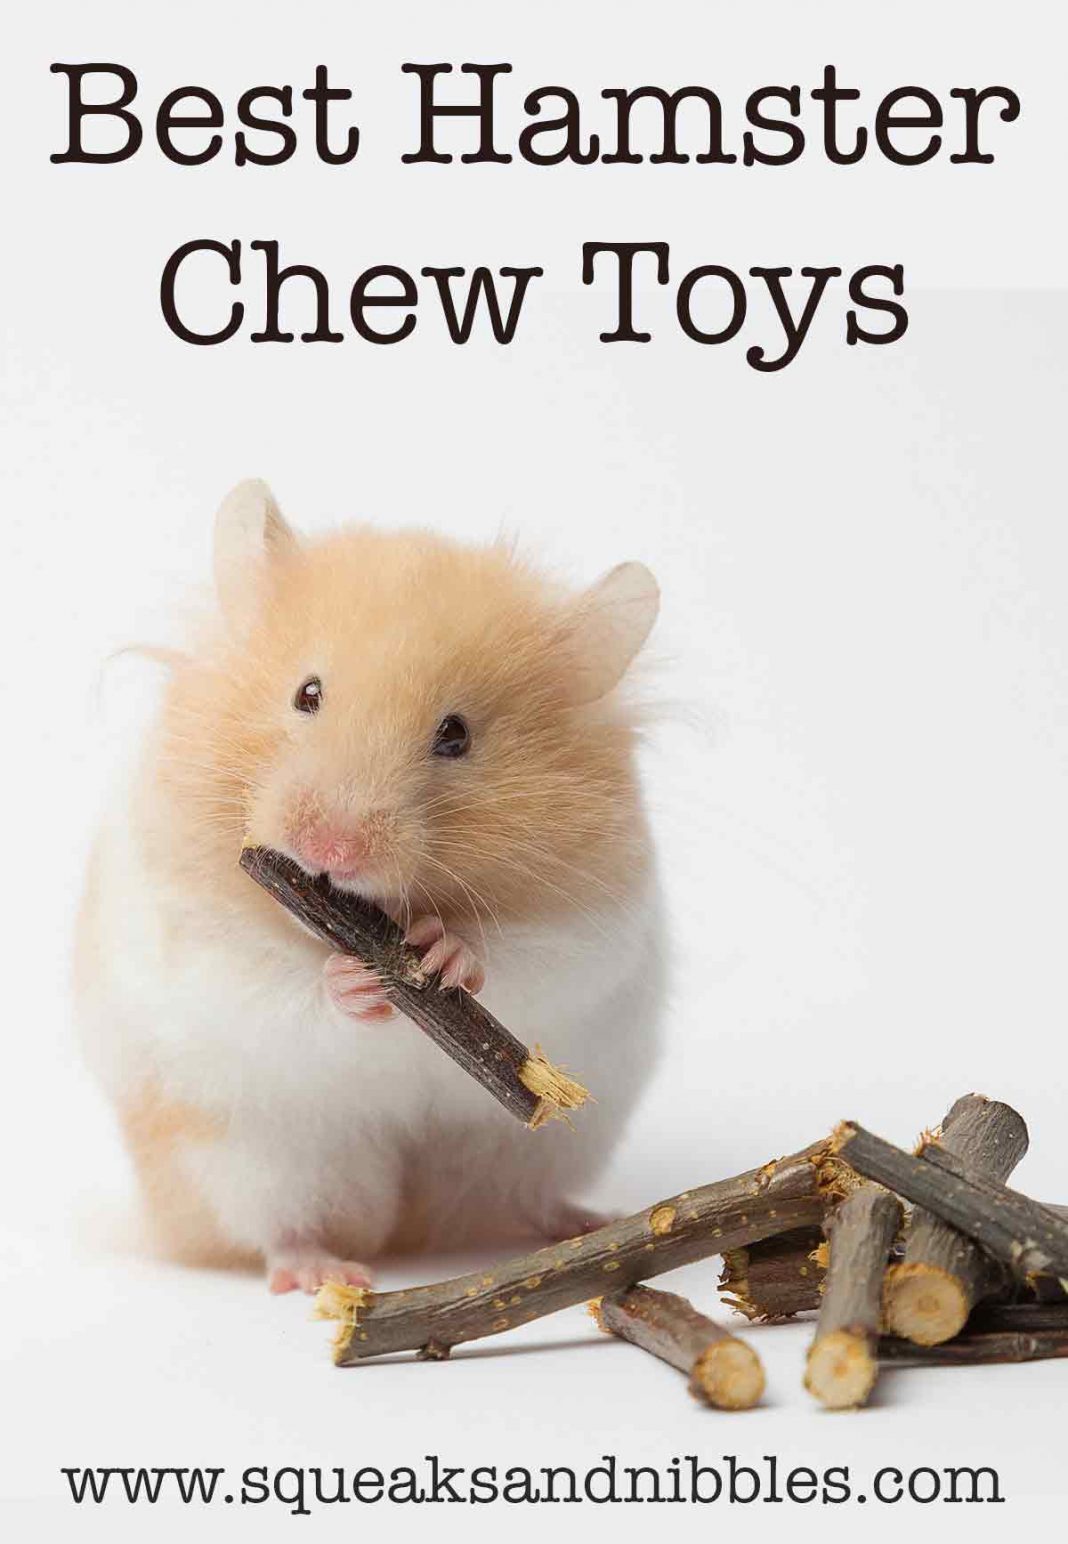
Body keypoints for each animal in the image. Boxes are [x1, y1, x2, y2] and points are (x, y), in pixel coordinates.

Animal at [76, 480, 665, 1293]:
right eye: (307, 693)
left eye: (456, 735)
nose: (332, 848)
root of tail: (404, 1230)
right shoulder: (191, 935)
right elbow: (270, 983)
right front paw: (353, 983)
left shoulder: (594, 928)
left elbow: (523, 956)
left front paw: (446, 954)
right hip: (247, 1163)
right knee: (281, 1228)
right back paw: (327, 1274)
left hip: (541, 1144)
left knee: (521, 1199)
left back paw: (589, 1223)